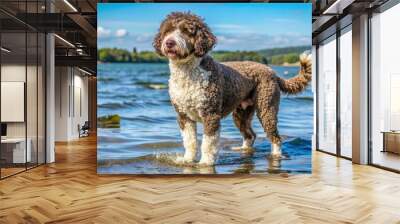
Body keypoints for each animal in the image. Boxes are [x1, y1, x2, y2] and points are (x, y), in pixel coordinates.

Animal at [153, 12, 312, 166]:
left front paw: (205, 162)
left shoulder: (210, 115)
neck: (187, 71)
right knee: (250, 135)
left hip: (267, 108)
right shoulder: (183, 116)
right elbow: (190, 141)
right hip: (241, 113)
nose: (169, 42)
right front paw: (187, 160)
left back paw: (276, 155)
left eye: (187, 31)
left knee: (275, 137)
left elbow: (208, 143)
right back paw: (243, 150)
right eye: (167, 30)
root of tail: (272, 72)